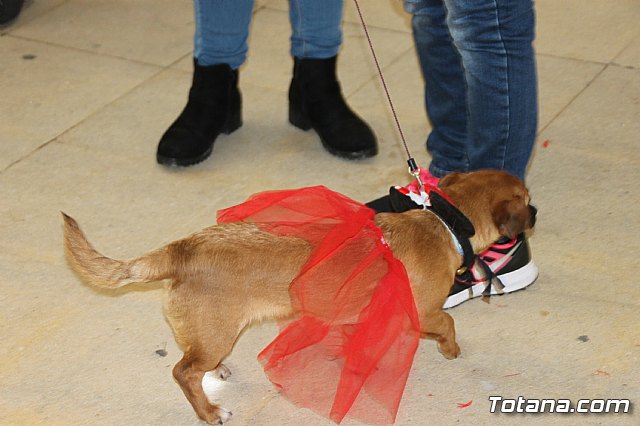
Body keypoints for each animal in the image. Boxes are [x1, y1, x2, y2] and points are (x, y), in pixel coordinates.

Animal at [63, 170, 536, 422]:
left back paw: (217, 375)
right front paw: (451, 349)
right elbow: (449, 323)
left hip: (209, 334)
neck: (444, 223)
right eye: (528, 200)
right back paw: (211, 413)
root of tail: (181, 249)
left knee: (193, 363)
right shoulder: (425, 312)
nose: (536, 211)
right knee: (183, 372)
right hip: (215, 334)